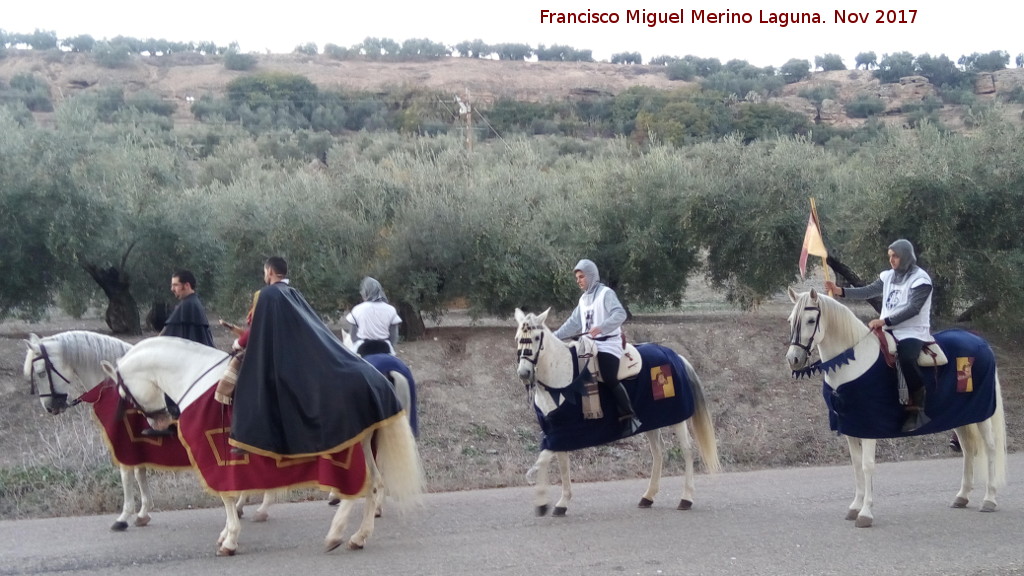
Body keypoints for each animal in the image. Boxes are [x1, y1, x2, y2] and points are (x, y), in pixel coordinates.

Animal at [24, 330, 278, 528]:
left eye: (40, 372)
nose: (50, 407)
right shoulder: (139, 447)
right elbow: (140, 474)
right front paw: (142, 513)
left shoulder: (124, 445)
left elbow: (127, 475)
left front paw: (124, 516)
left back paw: (259, 509)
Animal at [100, 334, 423, 553]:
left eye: (122, 392)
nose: (158, 423)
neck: (195, 378)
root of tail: (377, 378)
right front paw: (229, 531)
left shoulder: (216, 456)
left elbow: (228, 495)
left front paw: (230, 538)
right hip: (366, 445)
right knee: (375, 485)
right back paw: (358, 536)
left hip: (346, 451)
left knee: (357, 487)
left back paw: (336, 534)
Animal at [512, 307, 720, 512]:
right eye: (518, 337)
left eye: (536, 337)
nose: (524, 373)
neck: (561, 378)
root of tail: (675, 356)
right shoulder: (555, 431)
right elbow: (558, 463)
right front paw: (557, 502)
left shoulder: (563, 432)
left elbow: (543, 459)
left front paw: (544, 500)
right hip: (652, 421)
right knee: (658, 451)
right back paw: (648, 496)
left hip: (677, 418)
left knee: (687, 450)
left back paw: (686, 498)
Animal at [786, 286, 1003, 524]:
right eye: (791, 320)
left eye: (810, 320)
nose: (793, 359)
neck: (853, 362)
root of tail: (982, 344)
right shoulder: (850, 427)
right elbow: (856, 465)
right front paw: (855, 507)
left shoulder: (868, 428)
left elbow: (867, 465)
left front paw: (865, 513)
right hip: (961, 417)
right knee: (968, 449)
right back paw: (962, 496)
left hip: (982, 415)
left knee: (991, 448)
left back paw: (990, 499)